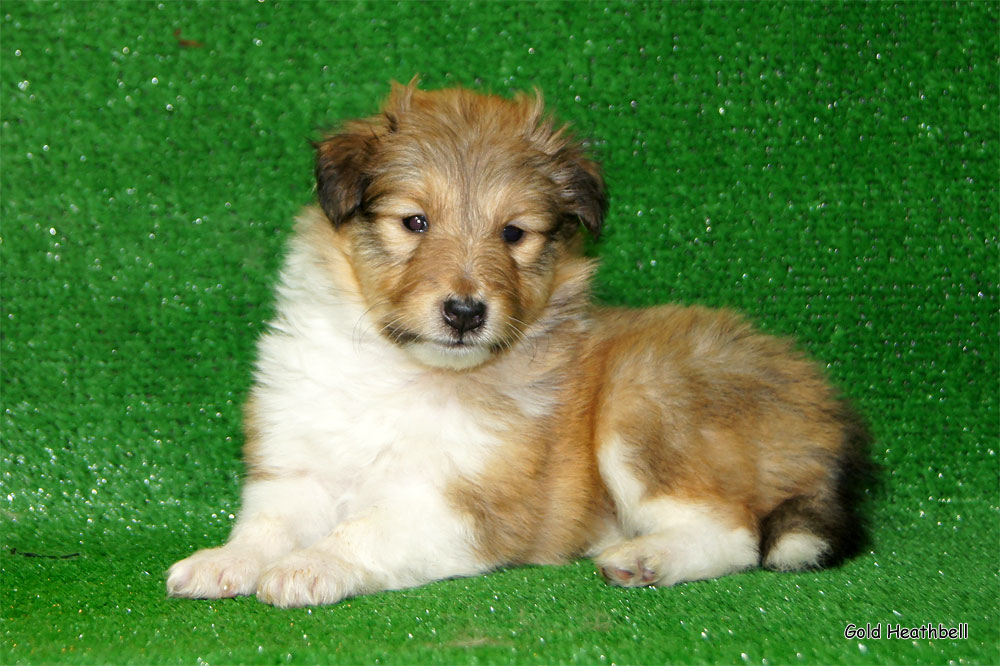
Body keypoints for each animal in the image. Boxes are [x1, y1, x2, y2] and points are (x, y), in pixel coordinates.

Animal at [166, 80, 868, 604]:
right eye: (414, 221)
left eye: (513, 233)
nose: (465, 312)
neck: (404, 371)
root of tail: (825, 410)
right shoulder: (297, 468)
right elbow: (265, 523)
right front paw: (223, 562)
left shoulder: (469, 502)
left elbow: (366, 529)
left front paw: (307, 568)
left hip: (647, 399)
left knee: (734, 534)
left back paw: (643, 558)